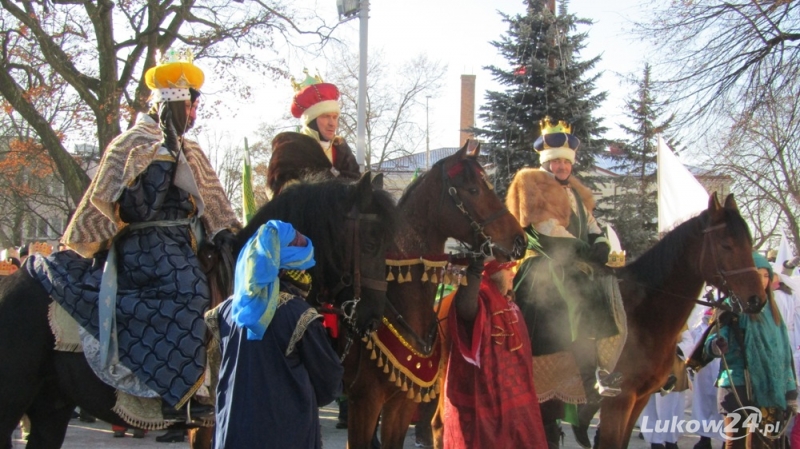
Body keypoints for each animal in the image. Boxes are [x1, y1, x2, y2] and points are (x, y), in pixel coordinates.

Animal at [536, 193, 768, 448]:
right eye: (726, 244)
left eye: (749, 243)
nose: (757, 300)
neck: (644, 313)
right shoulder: (619, 401)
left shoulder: (640, 398)